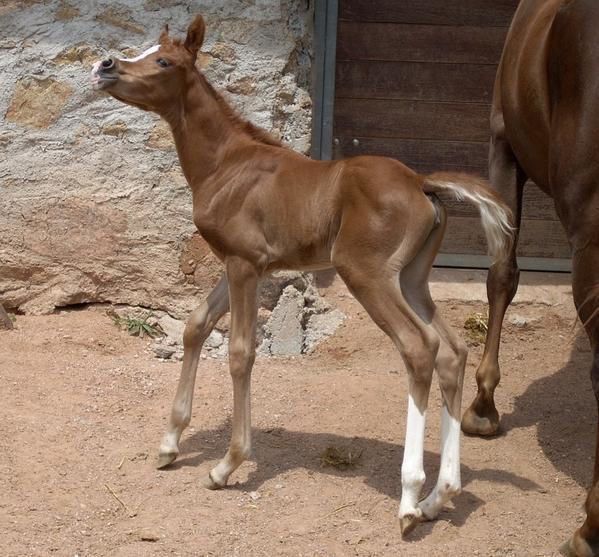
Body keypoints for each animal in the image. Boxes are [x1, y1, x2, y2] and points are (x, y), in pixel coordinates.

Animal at [91, 15, 512, 536]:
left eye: (164, 61)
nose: (105, 65)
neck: (227, 164)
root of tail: (422, 183)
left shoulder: (245, 266)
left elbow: (240, 353)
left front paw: (227, 464)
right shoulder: (239, 262)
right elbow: (194, 327)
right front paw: (170, 443)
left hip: (367, 275)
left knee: (419, 349)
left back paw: (410, 499)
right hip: (412, 280)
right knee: (452, 352)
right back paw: (440, 496)